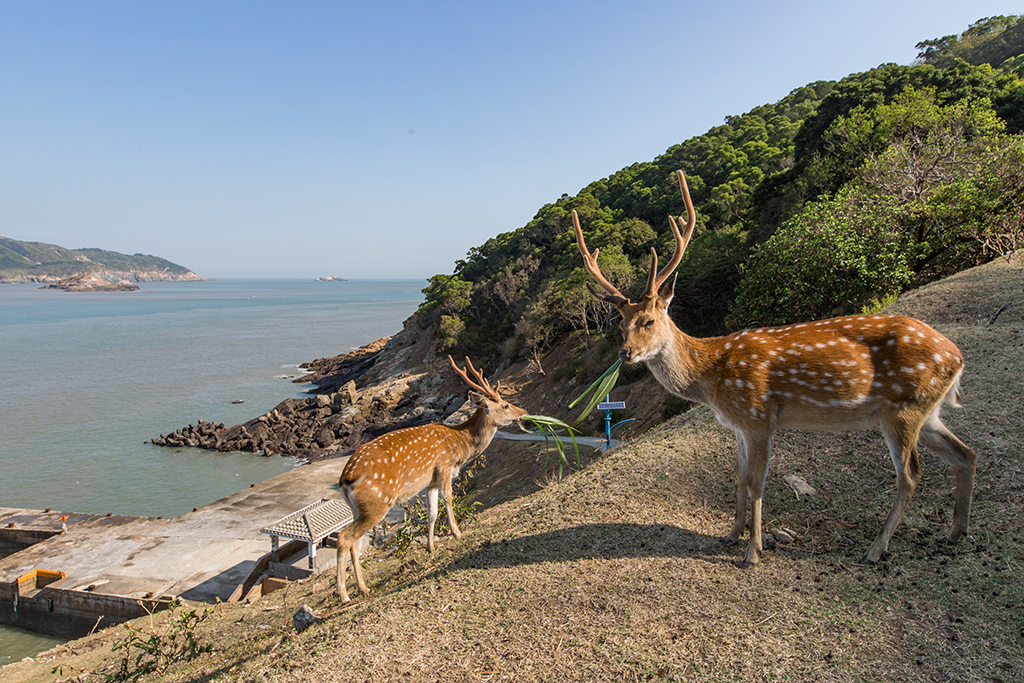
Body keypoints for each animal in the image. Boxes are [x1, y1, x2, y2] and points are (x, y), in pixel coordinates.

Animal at [334, 355, 527, 601]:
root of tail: (345, 479)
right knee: (344, 538)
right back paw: (344, 594)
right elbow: (448, 499)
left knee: (355, 542)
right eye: (505, 405)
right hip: (377, 503)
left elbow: (433, 513)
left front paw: (431, 546)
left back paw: (363, 588)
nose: (523, 411)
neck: (460, 447)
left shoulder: (430, 482)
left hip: (359, 509)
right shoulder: (444, 466)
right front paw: (457, 533)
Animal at [574, 169, 976, 567]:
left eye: (649, 320)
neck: (713, 378)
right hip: (926, 411)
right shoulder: (737, 425)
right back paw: (955, 532)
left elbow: (756, 483)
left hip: (902, 408)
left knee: (910, 475)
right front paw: (730, 535)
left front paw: (752, 551)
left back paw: (876, 549)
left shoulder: (759, 416)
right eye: (620, 324)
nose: (626, 353)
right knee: (965, 453)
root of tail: (956, 357)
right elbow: (738, 478)